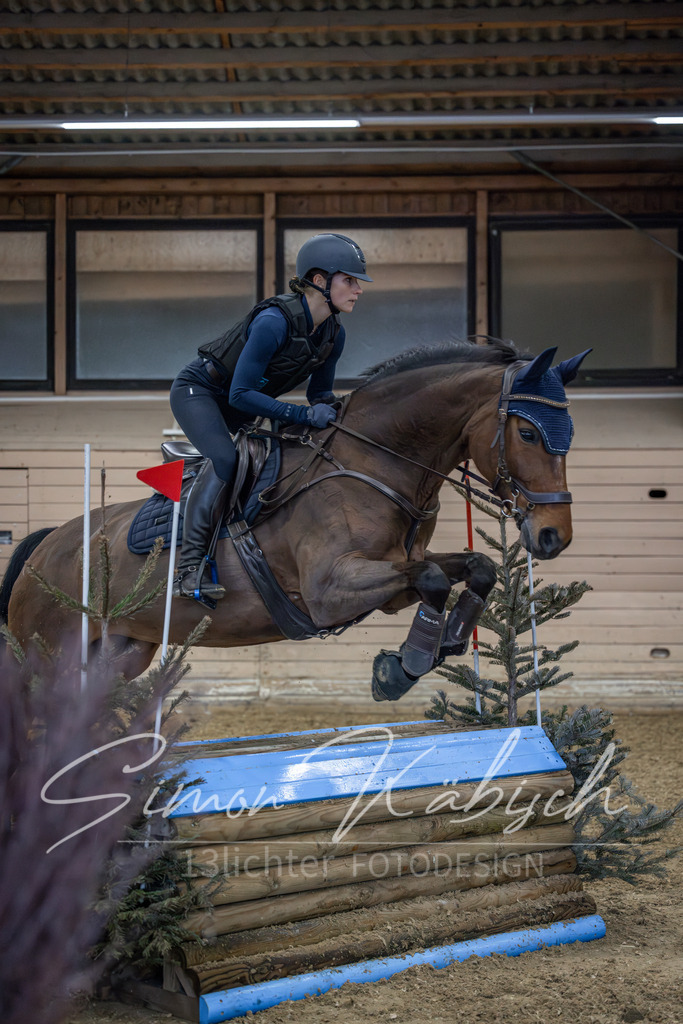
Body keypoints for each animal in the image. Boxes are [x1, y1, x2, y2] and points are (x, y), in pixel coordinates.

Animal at [1, 339, 589, 699]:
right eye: (529, 433)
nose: (553, 536)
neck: (372, 462)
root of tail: (44, 547)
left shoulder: (393, 575)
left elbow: (472, 568)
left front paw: (441, 644)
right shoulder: (330, 589)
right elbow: (433, 578)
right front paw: (405, 665)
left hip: (119, 653)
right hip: (48, 655)